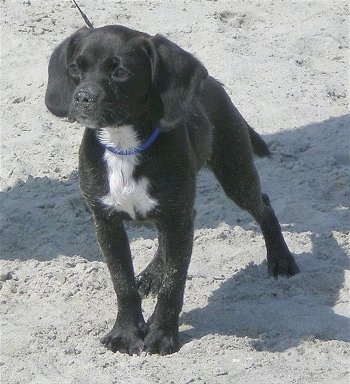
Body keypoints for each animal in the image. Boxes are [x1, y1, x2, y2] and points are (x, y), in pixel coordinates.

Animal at [45, 25, 300, 356]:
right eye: (76, 68)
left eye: (121, 72)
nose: (83, 97)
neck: (124, 144)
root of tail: (211, 84)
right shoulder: (107, 221)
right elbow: (123, 283)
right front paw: (126, 333)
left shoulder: (178, 217)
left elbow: (174, 283)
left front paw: (161, 336)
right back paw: (152, 274)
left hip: (234, 173)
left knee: (264, 206)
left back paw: (280, 259)